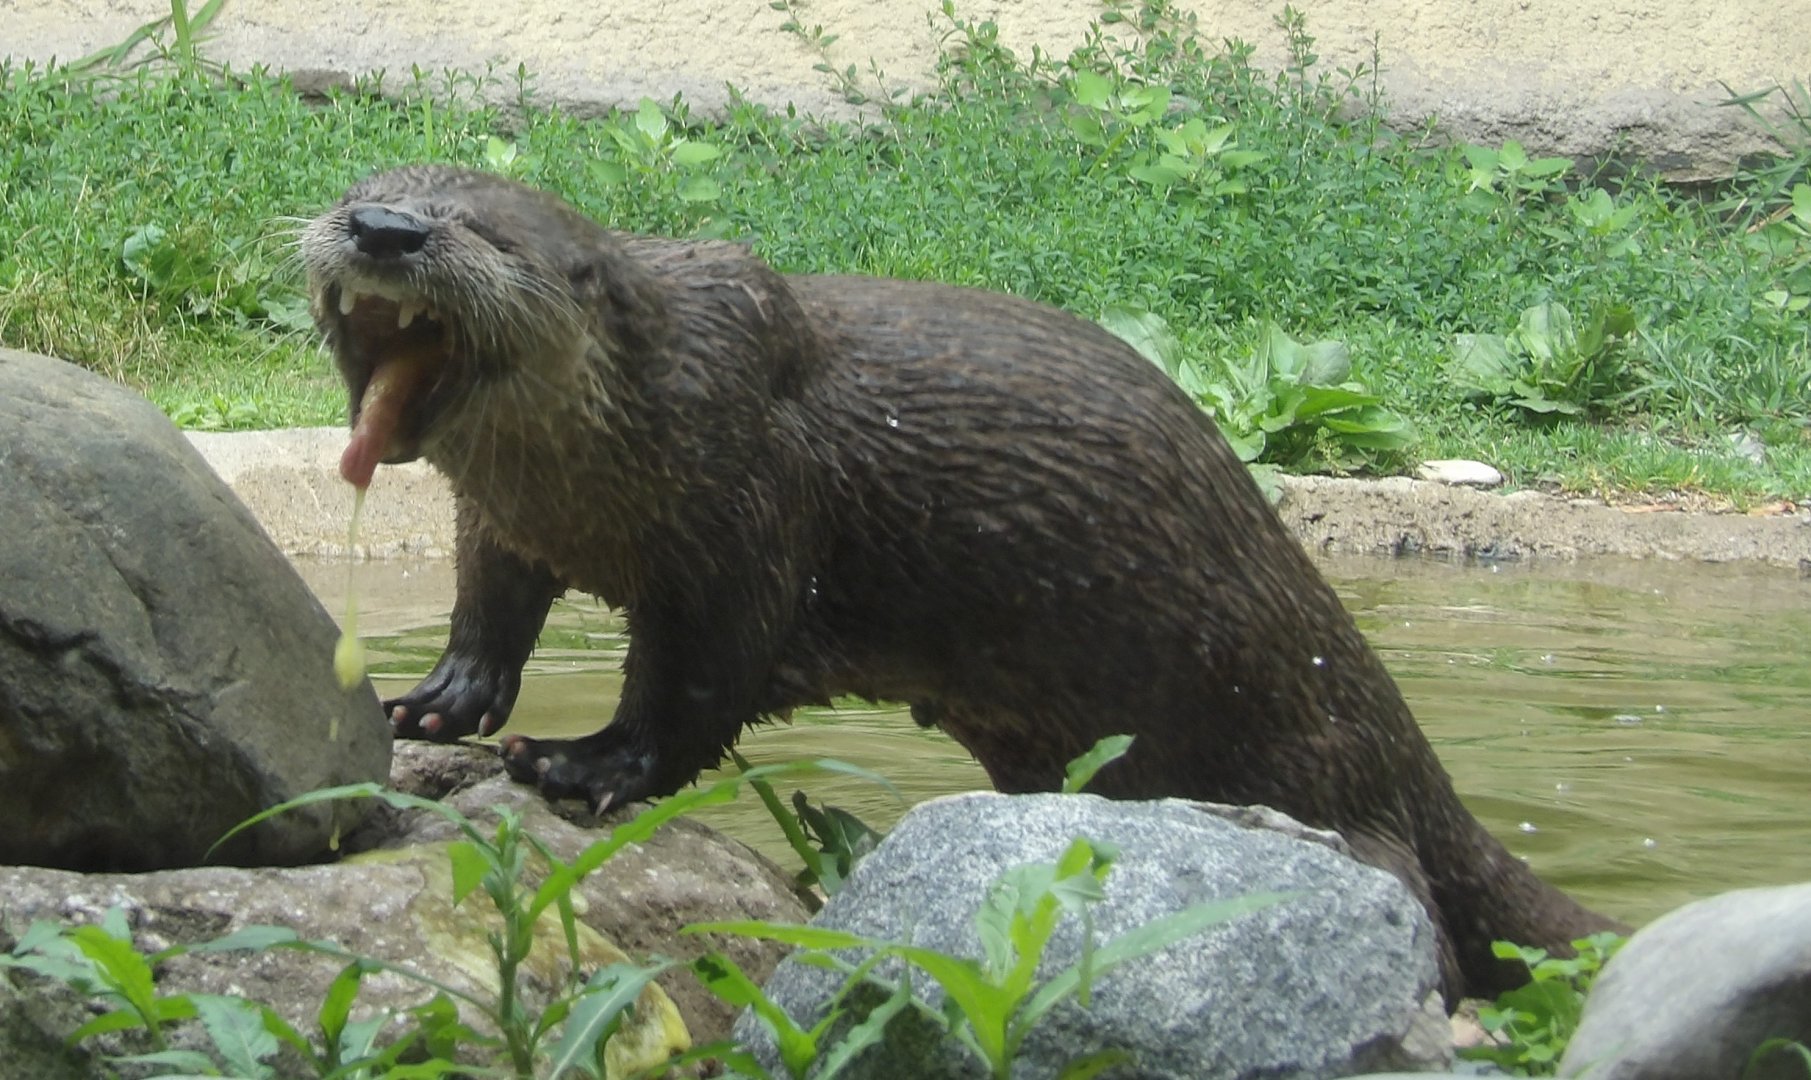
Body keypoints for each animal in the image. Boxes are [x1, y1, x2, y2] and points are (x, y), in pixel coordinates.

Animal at [302, 164, 1619, 1001]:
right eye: (369, 183)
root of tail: (1392, 728)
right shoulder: (505, 518)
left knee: (1417, 920)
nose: (382, 228)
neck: (636, 425)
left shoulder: (746, 517)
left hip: (1309, 761)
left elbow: (694, 690)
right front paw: (434, 704)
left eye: (479, 229)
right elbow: (489, 609)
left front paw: (582, 766)